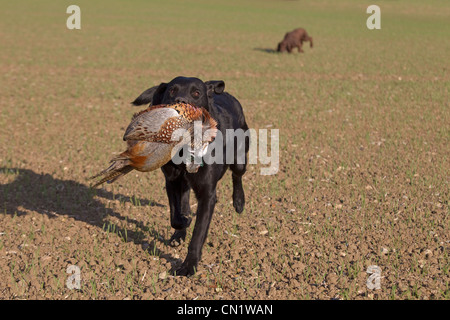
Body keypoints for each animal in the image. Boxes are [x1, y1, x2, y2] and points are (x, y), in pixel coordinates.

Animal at [132, 76, 250, 276]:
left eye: (196, 93)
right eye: (172, 90)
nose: (181, 102)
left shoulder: (207, 195)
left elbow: (199, 232)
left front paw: (189, 265)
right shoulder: (171, 181)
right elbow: (175, 215)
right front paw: (183, 225)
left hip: (240, 156)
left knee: (237, 175)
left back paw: (239, 202)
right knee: (185, 196)